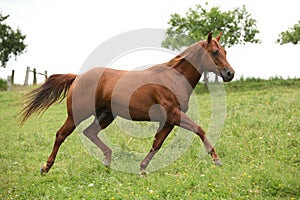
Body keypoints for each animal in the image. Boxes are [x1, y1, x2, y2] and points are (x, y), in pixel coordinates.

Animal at [21, 32, 234, 173]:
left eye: (225, 51)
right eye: (215, 52)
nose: (230, 73)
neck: (173, 78)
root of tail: (78, 77)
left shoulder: (168, 120)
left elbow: (157, 143)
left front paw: (142, 168)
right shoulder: (174, 114)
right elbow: (200, 129)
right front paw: (217, 160)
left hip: (106, 115)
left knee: (90, 132)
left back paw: (107, 162)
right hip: (76, 115)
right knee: (61, 135)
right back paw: (46, 167)